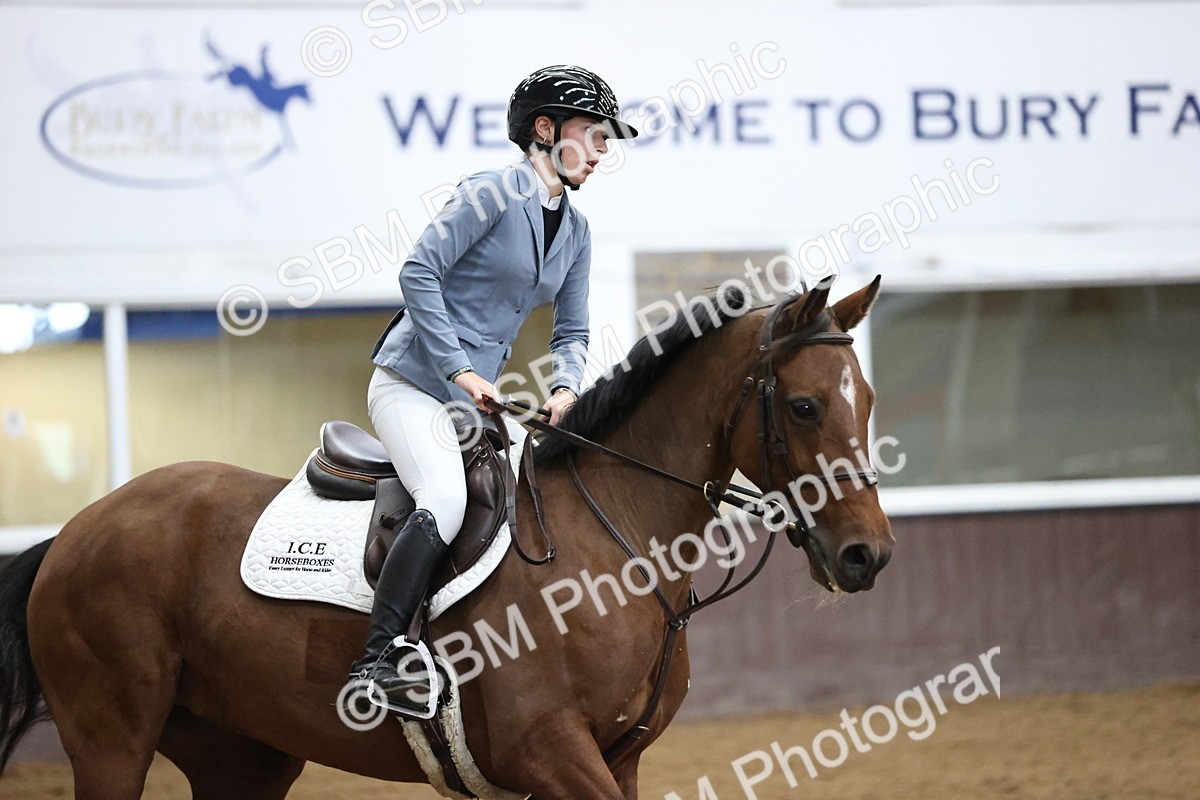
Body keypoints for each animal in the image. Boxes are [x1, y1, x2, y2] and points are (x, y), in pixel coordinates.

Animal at [0, 278, 893, 799]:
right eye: (806, 407)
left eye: (870, 400)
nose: (869, 555)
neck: (614, 545)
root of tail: (75, 532)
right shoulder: (550, 752)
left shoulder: (618, 758)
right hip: (112, 741)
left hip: (242, 755)